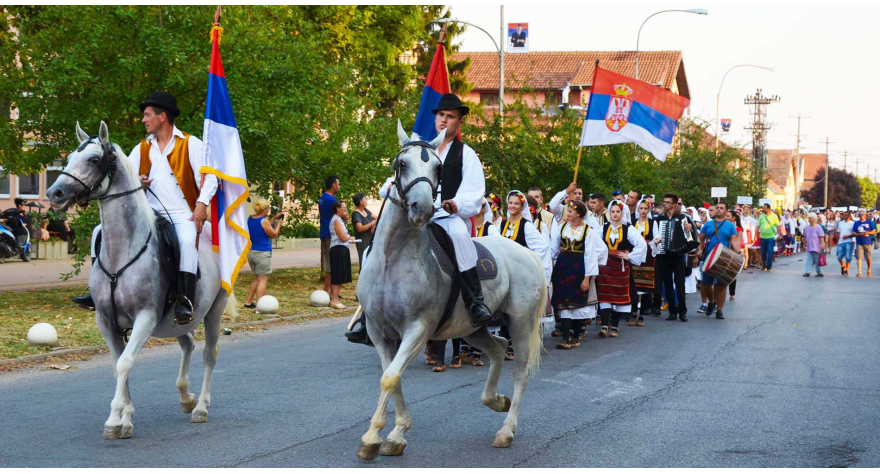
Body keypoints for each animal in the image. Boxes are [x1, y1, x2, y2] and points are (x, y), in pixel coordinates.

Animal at [46, 122, 227, 440]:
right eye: (68, 158)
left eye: (94, 159)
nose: (54, 193)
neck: (124, 250)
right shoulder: (106, 322)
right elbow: (117, 364)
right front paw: (125, 418)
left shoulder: (145, 317)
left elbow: (126, 362)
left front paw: (114, 419)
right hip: (175, 322)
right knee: (188, 343)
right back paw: (186, 397)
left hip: (214, 310)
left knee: (209, 353)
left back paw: (201, 407)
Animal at [354, 121, 548, 460]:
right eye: (402, 164)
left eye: (438, 167)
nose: (422, 208)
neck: (393, 261)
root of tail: (525, 251)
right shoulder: (380, 333)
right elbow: (393, 378)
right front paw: (395, 433)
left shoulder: (417, 330)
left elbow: (390, 377)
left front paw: (372, 437)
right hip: (473, 328)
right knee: (497, 348)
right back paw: (496, 400)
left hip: (521, 324)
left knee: (520, 372)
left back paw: (506, 430)